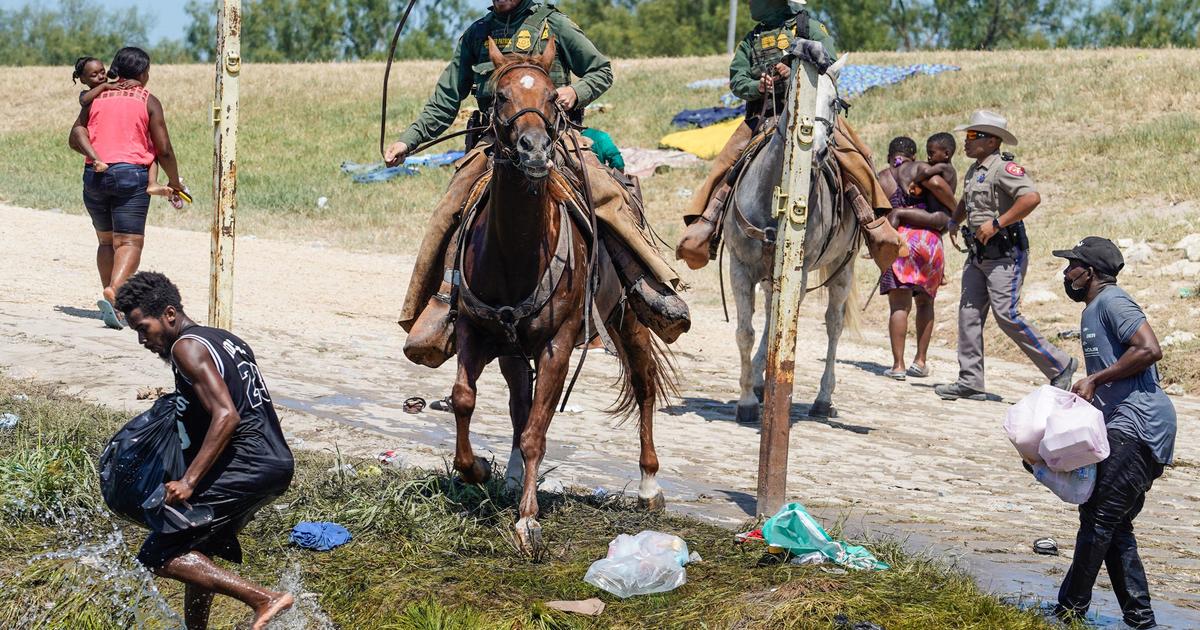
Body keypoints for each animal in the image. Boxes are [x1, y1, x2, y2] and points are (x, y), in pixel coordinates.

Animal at [451, 38, 676, 549]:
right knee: (519, 402)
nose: (534, 150)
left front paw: (527, 520)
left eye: (554, 97)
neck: (515, 253)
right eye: (500, 96)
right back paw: (513, 475)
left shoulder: (558, 345)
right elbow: (465, 399)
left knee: (644, 384)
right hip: (513, 350)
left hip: (628, 319)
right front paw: (476, 470)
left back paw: (649, 485)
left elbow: (538, 430)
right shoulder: (476, 329)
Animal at [720, 56, 864, 422]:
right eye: (794, 98)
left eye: (835, 102)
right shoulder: (740, 267)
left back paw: (822, 399)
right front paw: (747, 400)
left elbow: (783, 330)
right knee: (771, 316)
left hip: (843, 268)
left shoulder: (797, 273)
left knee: (833, 325)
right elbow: (745, 332)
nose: (817, 151)